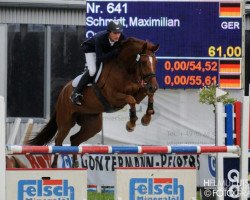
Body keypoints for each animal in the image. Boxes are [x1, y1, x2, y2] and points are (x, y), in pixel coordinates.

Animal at [28, 37, 159, 167]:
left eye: (156, 62)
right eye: (143, 62)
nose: (154, 86)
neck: (125, 69)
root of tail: (63, 92)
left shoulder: (138, 92)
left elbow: (147, 94)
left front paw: (146, 118)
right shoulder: (113, 97)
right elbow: (130, 99)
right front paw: (131, 124)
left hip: (92, 125)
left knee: (74, 140)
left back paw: (75, 166)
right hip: (66, 122)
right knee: (58, 141)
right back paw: (55, 166)